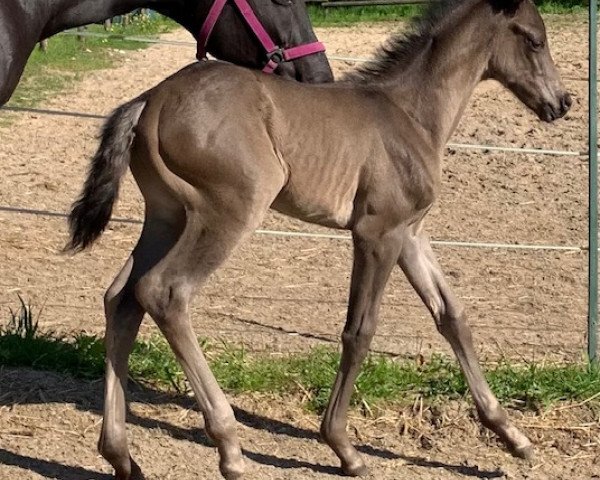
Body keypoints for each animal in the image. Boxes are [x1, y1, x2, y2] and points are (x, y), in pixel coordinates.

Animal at [68, 0, 568, 478]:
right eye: (534, 39)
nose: (562, 103)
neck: (409, 114)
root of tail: (148, 100)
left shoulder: (410, 234)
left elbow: (452, 317)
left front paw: (512, 435)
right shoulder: (376, 234)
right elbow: (359, 331)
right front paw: (343, 447)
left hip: (166, 217)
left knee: (122, 297)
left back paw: (119, 453)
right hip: (229, 211)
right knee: (164, 291)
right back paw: (229, 446)